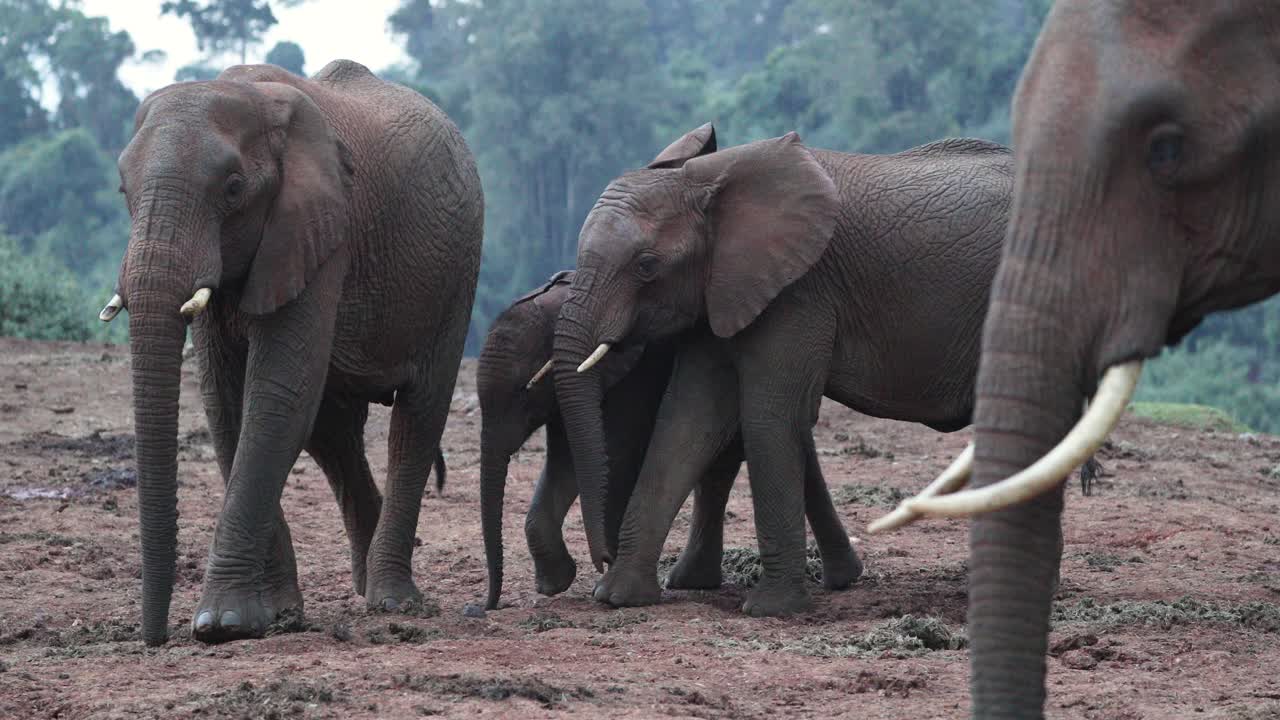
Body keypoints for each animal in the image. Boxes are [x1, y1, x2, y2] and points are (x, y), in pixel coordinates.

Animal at [101, 60, 483, 645]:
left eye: (233, 189)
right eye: (123, 188)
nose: (156, 636)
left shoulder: (320, 232)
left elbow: (275, 397)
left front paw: (222, 625)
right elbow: (228, 406)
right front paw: (276, 617)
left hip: (455, 274)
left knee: (418, 417)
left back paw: (393, 602)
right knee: (333, 432)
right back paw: (367, 583)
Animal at [478, 270, 861, 609]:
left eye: (523, 391)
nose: (488, 606)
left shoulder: (634, 375)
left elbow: (606, 454)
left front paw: (594, 571)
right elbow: (566, 459)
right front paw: (555, 583)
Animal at [551, 123, 1012, 616]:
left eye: (646, 266)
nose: (599, 560)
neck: (705, 180)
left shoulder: (799, 289)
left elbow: (767, 417)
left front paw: (771, 609)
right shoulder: (722, 292)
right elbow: (686, 421)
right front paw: (618, 597)